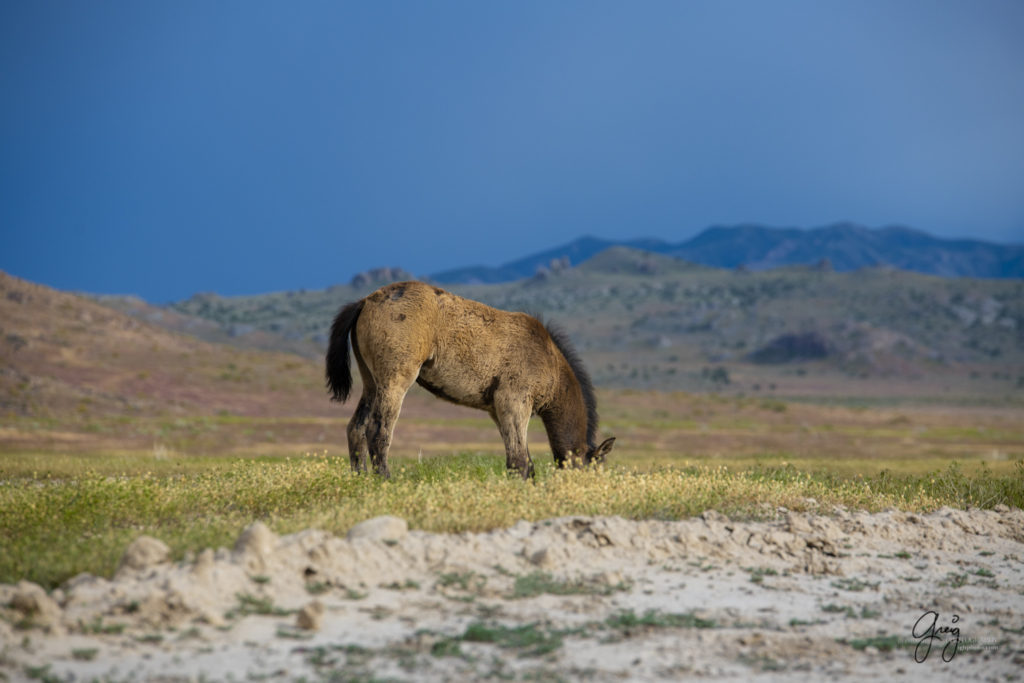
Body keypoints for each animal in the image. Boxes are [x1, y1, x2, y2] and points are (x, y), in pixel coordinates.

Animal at [327, 280, 614, 479]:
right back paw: (385, 479)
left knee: (356, 429)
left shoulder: (498, 411)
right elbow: (519, 461)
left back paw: (361, 479)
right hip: (395, 382)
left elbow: (522, 460)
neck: (547, 358)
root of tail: (366, 301)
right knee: (378, 432)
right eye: (594, 472)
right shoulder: (514, 402)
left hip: (371, 383)